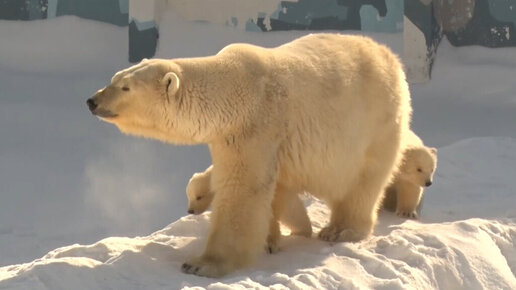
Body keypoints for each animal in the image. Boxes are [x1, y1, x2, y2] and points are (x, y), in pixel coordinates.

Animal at [86, 32, 414, 278]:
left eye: (125, 87)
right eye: (114, 78)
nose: (92, 101)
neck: (232, 92)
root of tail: (391, 57)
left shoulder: (255, 126)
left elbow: (241, 190)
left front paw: (201, 263)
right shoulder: (232, 136)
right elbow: (271, 190)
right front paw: (271, 239)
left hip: (375, 122)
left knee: (363, 180)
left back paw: (340, 229)